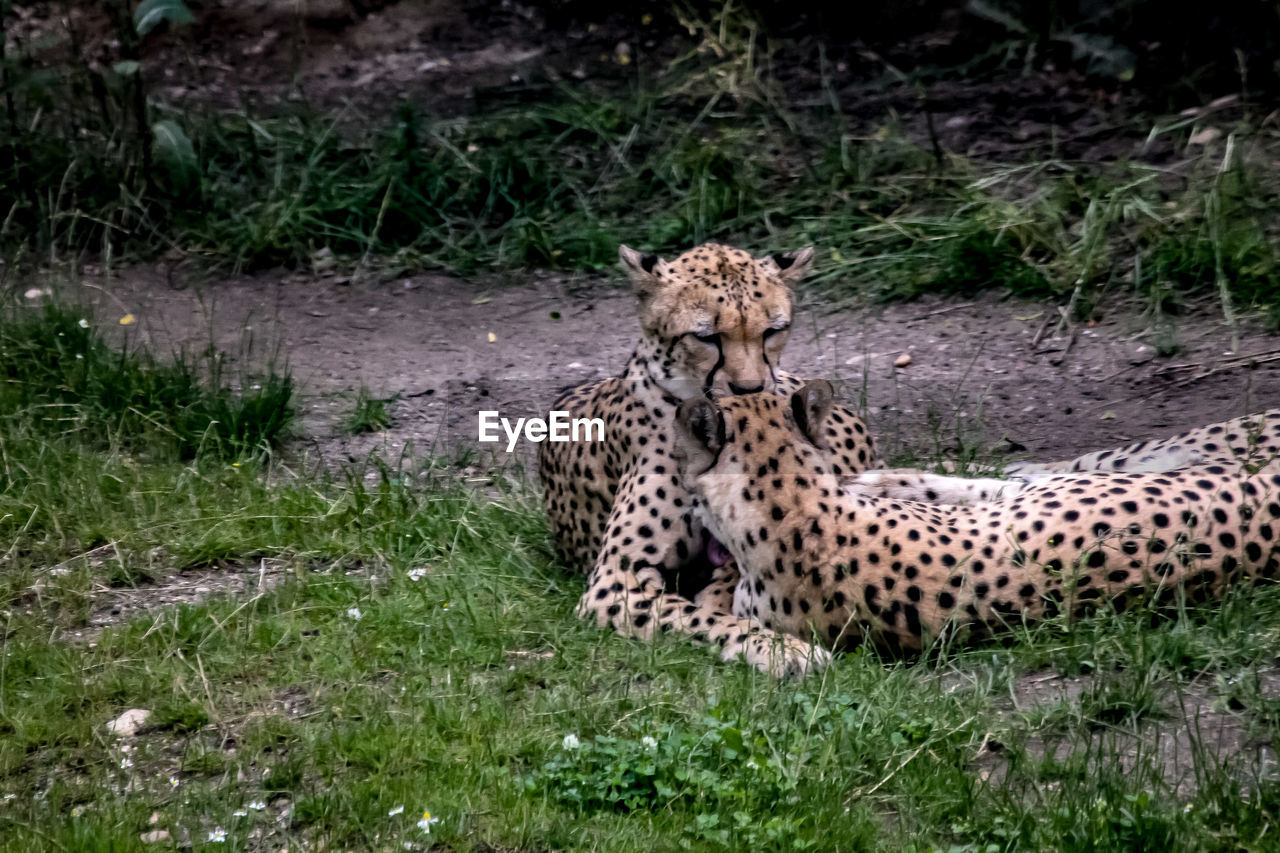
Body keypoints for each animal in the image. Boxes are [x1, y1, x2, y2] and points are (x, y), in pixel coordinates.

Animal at [537, 242, 880, 676]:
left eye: (773, 330)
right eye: (707, 337)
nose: (750, 387)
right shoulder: (614, 580)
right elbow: (696, 617)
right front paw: (781, 649)